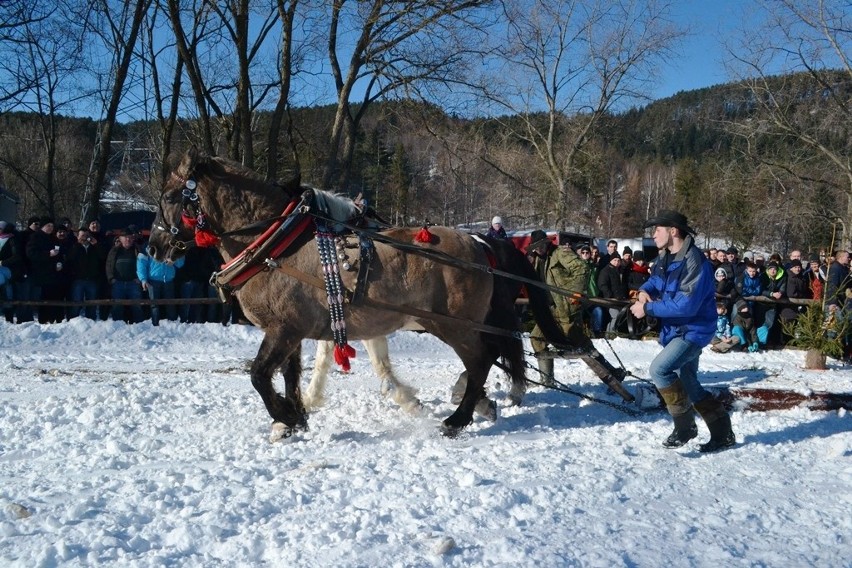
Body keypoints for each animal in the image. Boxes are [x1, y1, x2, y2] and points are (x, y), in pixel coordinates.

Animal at [149, 148, 568, 440]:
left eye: (169, 197)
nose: (153, 246)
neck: (275, 245)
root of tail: (480, 243)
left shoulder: (285, 329)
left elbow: (259, 374)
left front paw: (285, 416)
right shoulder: (293, 330)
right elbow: (290, 373)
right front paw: (295, 418)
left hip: (455, 325)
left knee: (481, 359)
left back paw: (457, 419)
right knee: (491, 355)